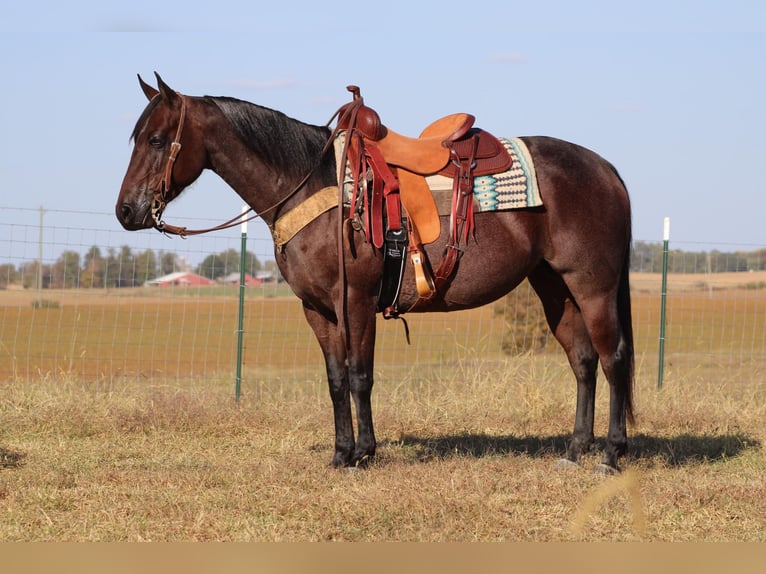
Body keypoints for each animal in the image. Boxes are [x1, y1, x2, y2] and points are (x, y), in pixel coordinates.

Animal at [118, 74, 636, 474]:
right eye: (137, 138)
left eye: (157, 140)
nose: (126, 211)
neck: (315, 185)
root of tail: (606, 169)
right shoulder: (318, 310)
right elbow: (335, 381)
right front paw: (340, 454)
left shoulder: (357, 302)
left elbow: (360, 375)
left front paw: (364, 453)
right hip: (555, 287)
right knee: (583, 361)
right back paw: (574, 450)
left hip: (594, 286)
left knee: (612, 360)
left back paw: (610, 455)